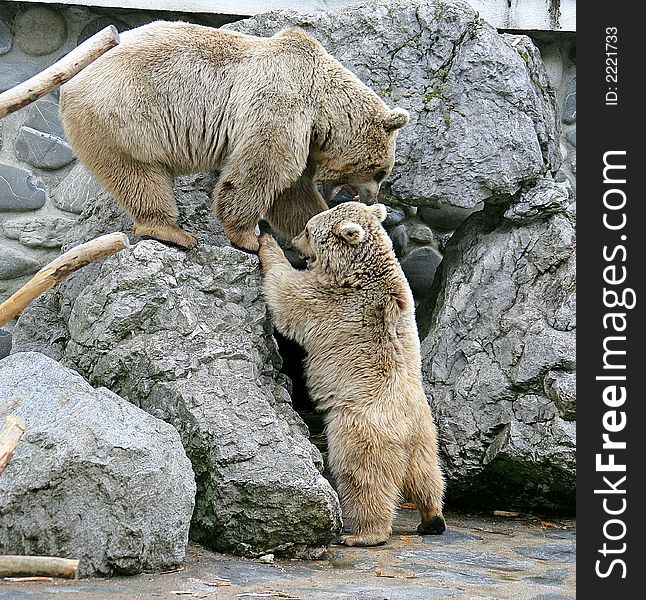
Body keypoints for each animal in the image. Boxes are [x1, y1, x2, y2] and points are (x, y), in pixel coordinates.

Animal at [58, 22, 408, 252]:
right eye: (381, 172)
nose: (373, 198)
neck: (323, 106)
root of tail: (70, 80)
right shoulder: (280, 105)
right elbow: (260, 170)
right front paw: (248, 237)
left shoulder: (305, 137)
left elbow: (293, 193)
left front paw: (313, 232)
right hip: (123, 115)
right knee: (138, 176)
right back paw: (172, 231)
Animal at [258, 203, 446, 548]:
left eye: (308, 229)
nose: (294, 241)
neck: (359, 271)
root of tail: (407, 431)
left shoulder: (333, 301)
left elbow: (288, 295)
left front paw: (266, 239)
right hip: (425, 435)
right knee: (426, 474)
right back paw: (432, 517)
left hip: (361, 429)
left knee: (363, 476)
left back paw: (362, 533)